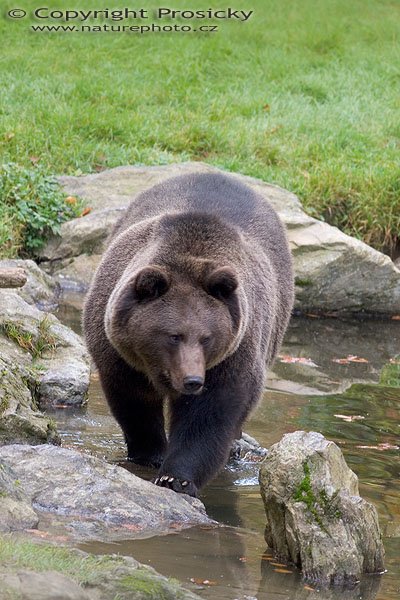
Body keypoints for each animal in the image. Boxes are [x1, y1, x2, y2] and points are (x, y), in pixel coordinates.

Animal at [83, 172, 294, 496]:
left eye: (206, 337)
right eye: (173, 335)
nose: (193, 380)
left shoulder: (233, 353)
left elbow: (209, 415)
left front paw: (177, 478)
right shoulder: (119, 352)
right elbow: (134, 402)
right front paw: (151, 453)